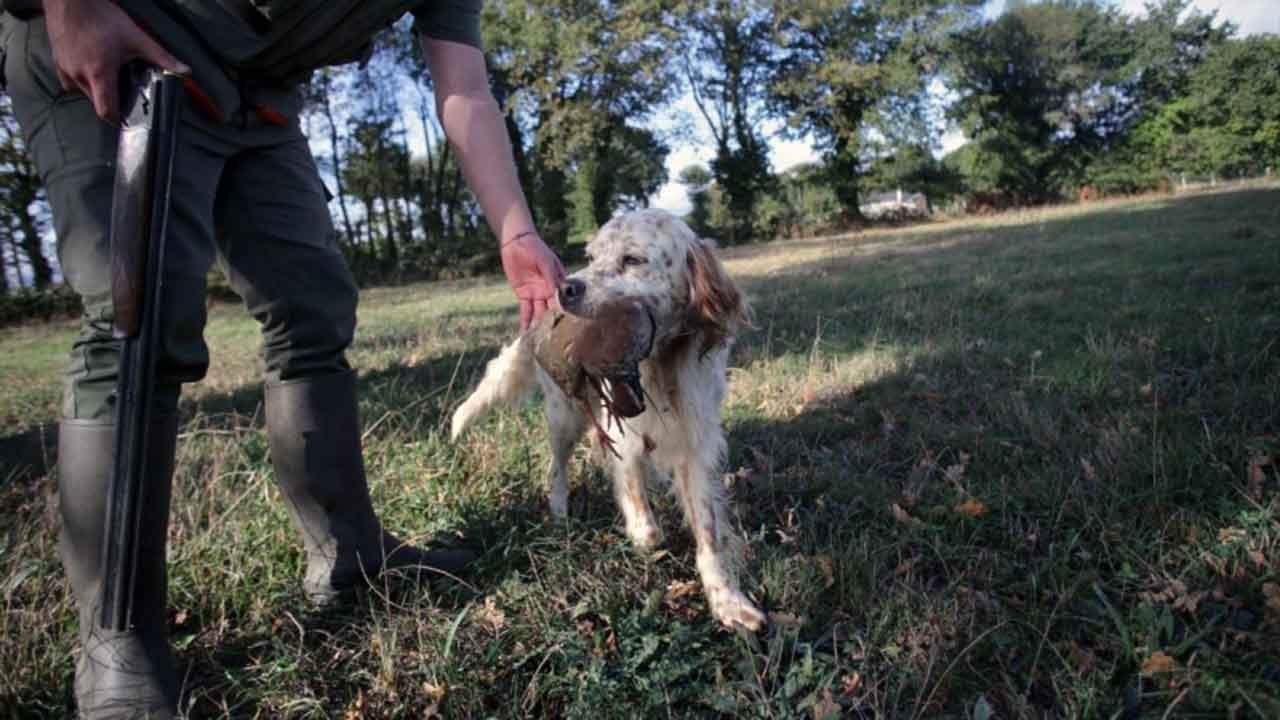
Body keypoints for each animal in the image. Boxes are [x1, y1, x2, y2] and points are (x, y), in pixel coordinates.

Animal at [453, 207, 762, 627]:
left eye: (632, 259)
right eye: (592, 256)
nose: (565, 288)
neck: (661, 367)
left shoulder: (696, 445)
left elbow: (708, 530)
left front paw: (727, 601)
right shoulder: (625, 434)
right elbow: (642, 513)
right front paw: (639, 530)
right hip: (564, 416)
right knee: (556, 467)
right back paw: (560, 511)